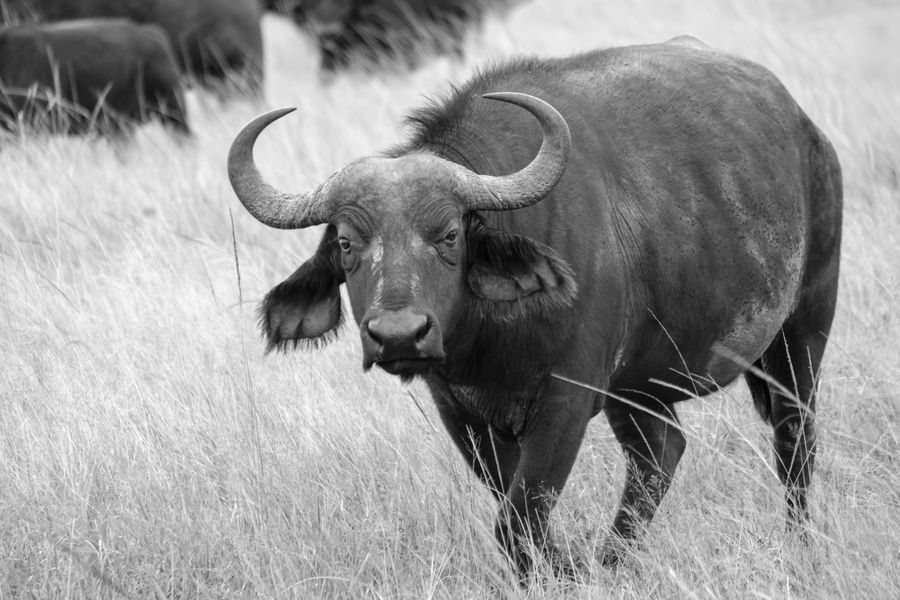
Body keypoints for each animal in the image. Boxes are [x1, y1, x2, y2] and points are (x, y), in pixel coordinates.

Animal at [228, 37, 842, 580]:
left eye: (450, 235)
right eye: (347, 243)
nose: (399, 335)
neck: (491, 342)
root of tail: (809, 132)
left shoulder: (566, 400)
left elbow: (519, 519)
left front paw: (565, 568)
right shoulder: (464, 414)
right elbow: (518, 514)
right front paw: (568, 566)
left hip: (802, 332)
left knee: (794, 443)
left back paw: (798, 545)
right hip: (641, 385)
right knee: (660, 455)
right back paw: (612, 561)